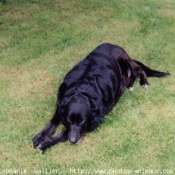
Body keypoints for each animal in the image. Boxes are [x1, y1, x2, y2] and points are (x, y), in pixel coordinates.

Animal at [31, 43, 170, 152]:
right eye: (69, 120)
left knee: (140, 70)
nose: (73, 141)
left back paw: (143, 82)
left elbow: (65, 133)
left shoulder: (95, 119)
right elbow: (54, 119)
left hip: (124, 60)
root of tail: (115, 45)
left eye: (82, 121)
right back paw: (130, 84)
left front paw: (46, 144)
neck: (81, 91)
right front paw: (41, 136)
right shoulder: (61, 101)